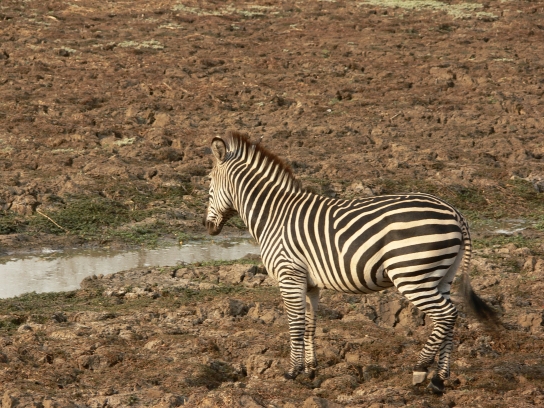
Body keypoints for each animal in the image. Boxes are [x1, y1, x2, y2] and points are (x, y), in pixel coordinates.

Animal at [203, 131, 498, 394]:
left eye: (208, 185)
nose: (208, 227)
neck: (274, 215)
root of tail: (455, 212)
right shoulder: (310, 284)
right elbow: (310, 325)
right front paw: (311, 371)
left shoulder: (289, 275)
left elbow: (295, 325)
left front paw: (292, 372)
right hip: (442, 276)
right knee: (449, 317)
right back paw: (439, 380)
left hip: (412, 275)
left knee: (446, 314)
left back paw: (420, 371)